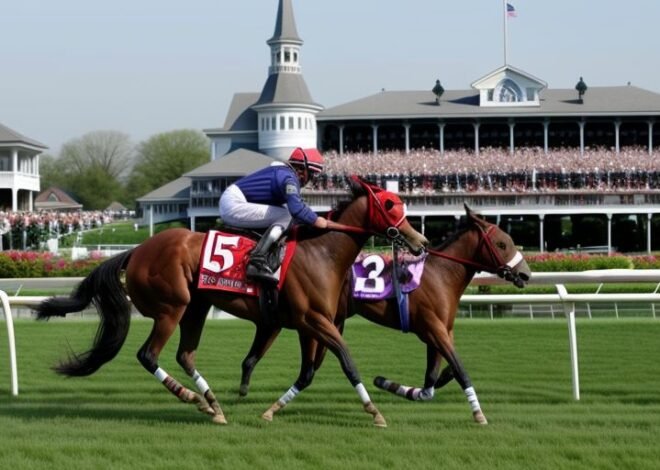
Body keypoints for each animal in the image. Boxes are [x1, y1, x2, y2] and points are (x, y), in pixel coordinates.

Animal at [34, 175, 428, 426]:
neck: (322, 251)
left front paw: (270, 410)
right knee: (149, 355)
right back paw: (192, 398)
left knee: (185, 355)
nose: (420, 241)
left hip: (196, 307)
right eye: (391, 205)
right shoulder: (313, 320)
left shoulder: (310, 324)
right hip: (171, 307)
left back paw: (213, 406)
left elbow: (309, 372)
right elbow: (347, 361)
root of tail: (137, 251)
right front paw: (375, 412)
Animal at [236, 204, 532, 424]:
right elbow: (459, 369)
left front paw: (390, 384)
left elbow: (431, 382)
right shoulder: (434, 329)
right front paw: (478, 413)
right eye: (502, 244)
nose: (526, 274)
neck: (441, 274)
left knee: (304, 368)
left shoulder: (439, 332)